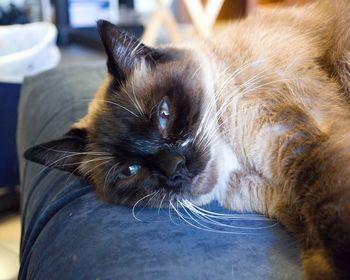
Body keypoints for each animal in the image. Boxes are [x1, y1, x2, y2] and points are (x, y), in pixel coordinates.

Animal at [24, 0, 350, 278]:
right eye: (130, 170)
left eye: (164, 115)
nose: (174, 166)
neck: (243, 166)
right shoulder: (292, 201)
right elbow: (315, 243)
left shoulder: (303, 146)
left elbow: (330, 212)